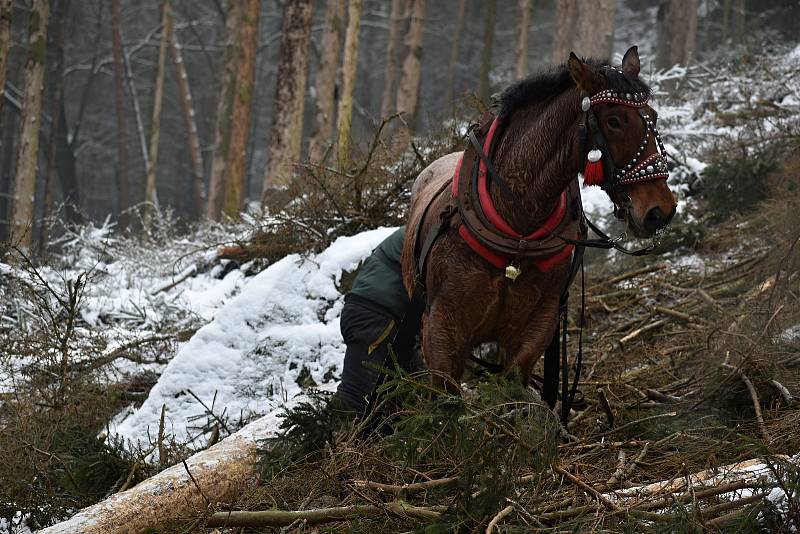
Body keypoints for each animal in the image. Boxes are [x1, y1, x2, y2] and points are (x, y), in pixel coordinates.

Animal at [400, 47, 676, 394]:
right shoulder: (441, 331)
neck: (517, 230)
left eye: (653, 116)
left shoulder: (537, 328)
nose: (660, 210)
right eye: (613, 121)